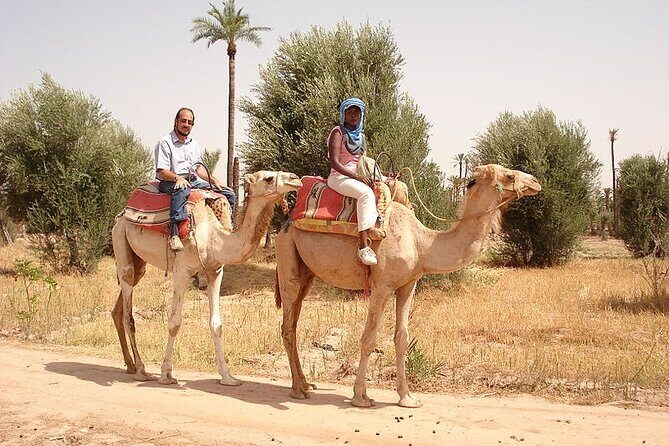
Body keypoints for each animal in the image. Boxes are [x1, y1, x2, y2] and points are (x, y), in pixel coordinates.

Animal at [112, 170, 302, 386]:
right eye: (268, 178)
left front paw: (227, 376)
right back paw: (141, 370)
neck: (213, 238)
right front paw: (166, 374)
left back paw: (130, 365)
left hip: (139, 262)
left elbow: (216, 324)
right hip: (121, 240)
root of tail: (121, 215)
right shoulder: (181, 271)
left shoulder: (215, 272)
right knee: (128, 308)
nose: (296, 179)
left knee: (120, 306)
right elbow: (175, 322)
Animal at [275, 164, 541, 407]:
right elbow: (369, 338)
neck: (421, 244)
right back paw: (298, 389)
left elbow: (402, 338)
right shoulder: (382, 286)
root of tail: (286, 222)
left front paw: (407, 398)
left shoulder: (408, 284)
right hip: (287, 255)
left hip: (307, 272)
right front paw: (361, 397)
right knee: (288, 324)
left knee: (294, 321)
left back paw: (306, 383)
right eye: (509, 175)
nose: (535, 182)